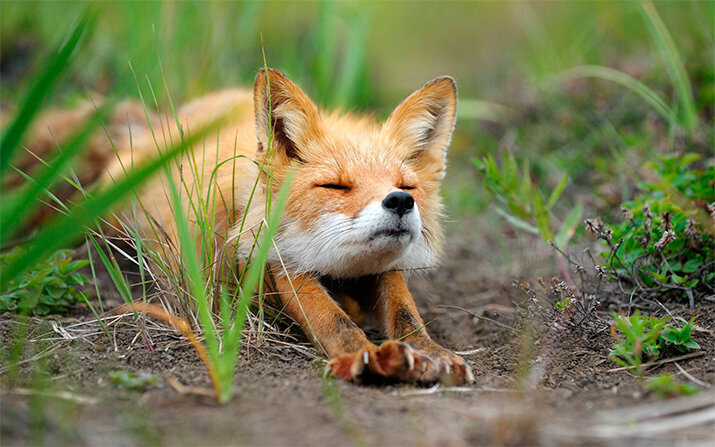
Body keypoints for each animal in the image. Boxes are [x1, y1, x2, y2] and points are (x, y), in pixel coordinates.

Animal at [21, 68, 476, 386]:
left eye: (406, 186)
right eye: (335, 185)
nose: (400, 202)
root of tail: (169, 119)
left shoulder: (384, 268)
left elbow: (404, 311)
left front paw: (430, 352)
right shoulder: (274, 260)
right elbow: (329, 316)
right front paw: (359, 355)